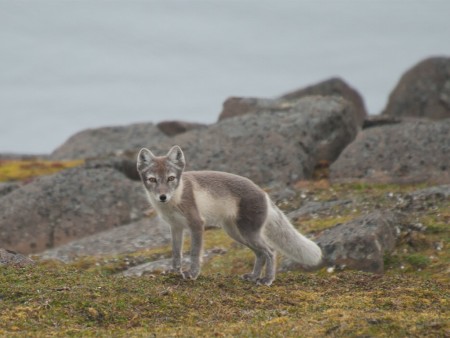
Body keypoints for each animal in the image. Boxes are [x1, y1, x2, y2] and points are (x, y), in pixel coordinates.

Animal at [135, 145, 322, 286]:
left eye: (171, 178)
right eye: (152, 180)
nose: (162, 197)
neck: (176, 199)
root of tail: (264, 193)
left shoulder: (196, 224)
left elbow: (194, 252)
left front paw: (192, 274)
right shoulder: (175, 227)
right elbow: (176, 253)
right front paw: (174, 271)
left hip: (248, 233)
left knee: (270, 251)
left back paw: (267, 280)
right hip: (237, 234)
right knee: (260, 254)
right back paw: (253, 277)